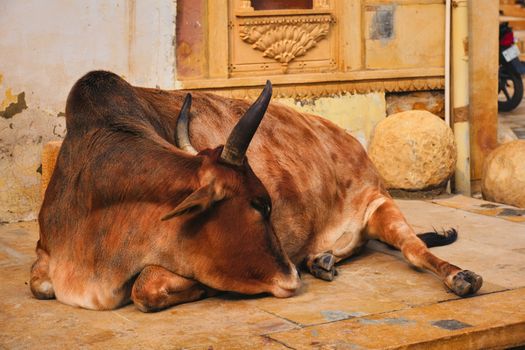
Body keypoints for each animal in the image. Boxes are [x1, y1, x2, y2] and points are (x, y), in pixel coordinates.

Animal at [31, 71, 484, 312]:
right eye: (258, 205)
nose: (291, 276)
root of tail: (351, 141)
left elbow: (145, 288)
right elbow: (40, 286)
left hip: (380, 204)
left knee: (414, 250)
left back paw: (460, 276)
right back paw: (320, 260)